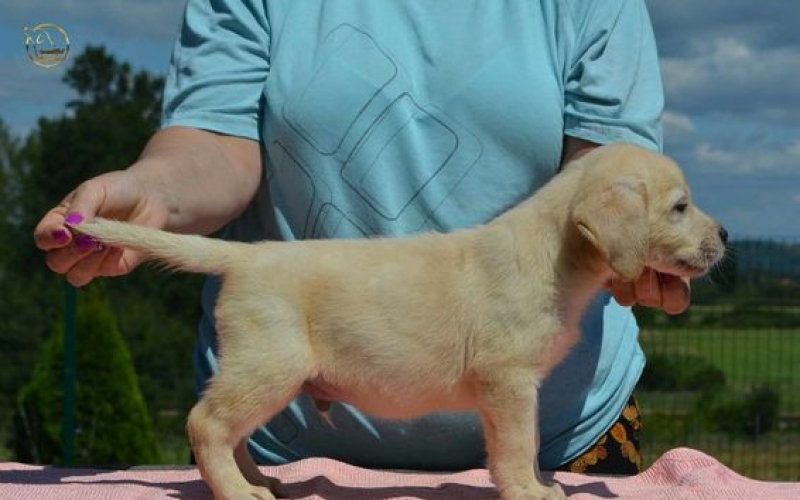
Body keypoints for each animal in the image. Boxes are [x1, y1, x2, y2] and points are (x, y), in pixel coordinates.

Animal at [67, 143, 724, 498]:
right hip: (267, 366)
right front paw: (530, 489)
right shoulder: (509, 382)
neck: (554, 252)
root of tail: (247, 256)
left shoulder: (512, 388)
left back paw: (260, 481)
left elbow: (522, 443)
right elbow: (518, 446)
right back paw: (237, 491)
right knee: (205, 424)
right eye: (680, 206)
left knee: (229, 432)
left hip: (261, 373)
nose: (724, 235)